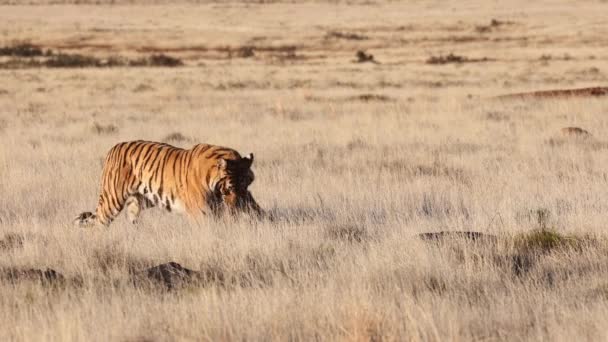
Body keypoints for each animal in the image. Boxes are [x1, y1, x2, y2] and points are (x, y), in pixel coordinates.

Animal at [73, 140, 262, 228]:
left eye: (245, 186)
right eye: (229, 188)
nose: (236, 207)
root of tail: (113, 148)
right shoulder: (201, 212)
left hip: (139, 201)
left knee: (131, 219)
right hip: (112, 199)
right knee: (99, 223)